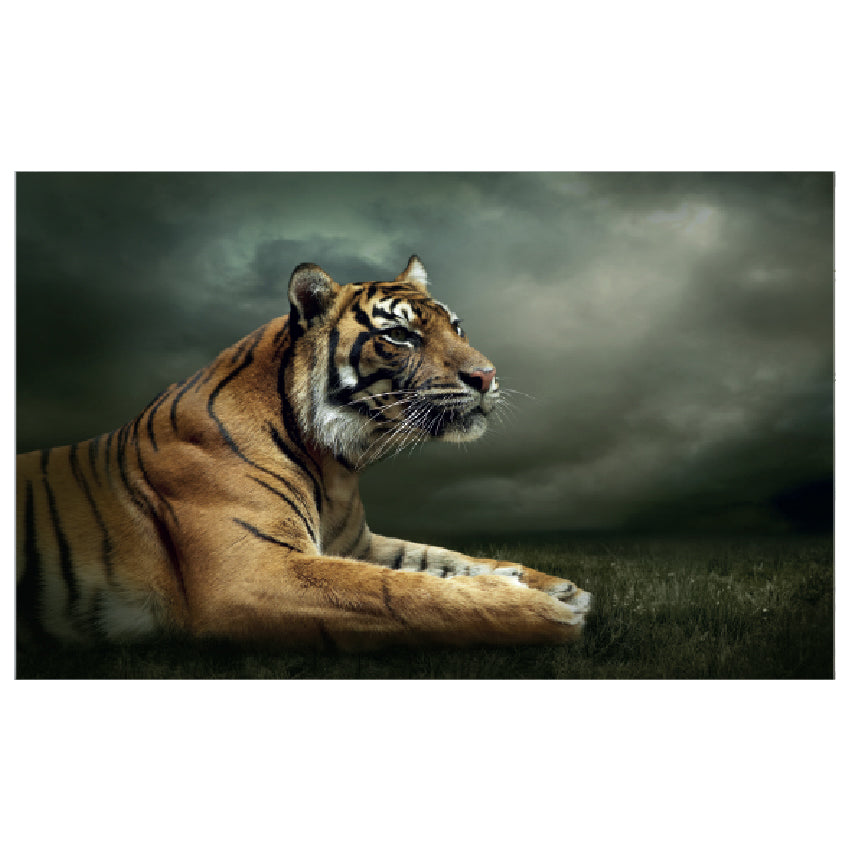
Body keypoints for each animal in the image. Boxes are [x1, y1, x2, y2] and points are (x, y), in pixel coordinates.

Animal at [16, 255, 591, 652]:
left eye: (456, 327)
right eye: (401, 336)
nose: (487, 376)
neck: (334, 465)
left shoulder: (355, 543)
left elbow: (439, 559)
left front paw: (554, 586)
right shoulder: (254, 572)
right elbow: (404, 593)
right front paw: (547, 612)